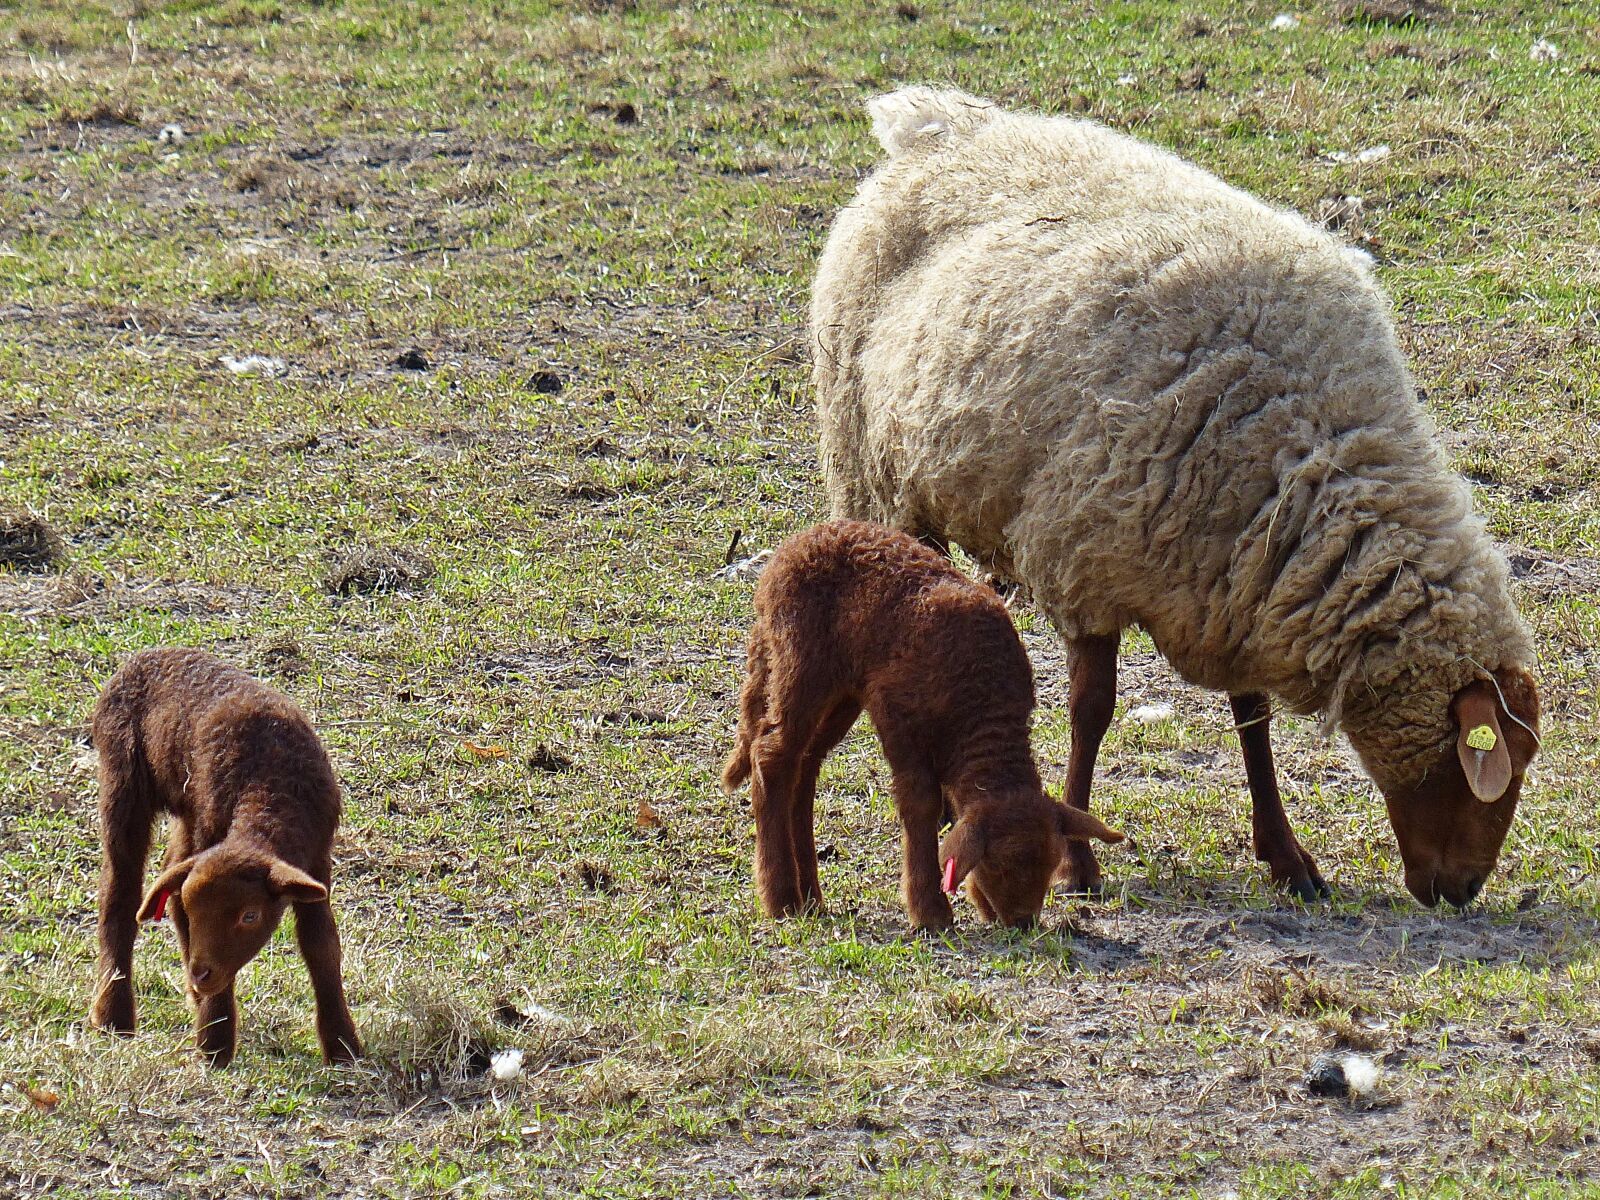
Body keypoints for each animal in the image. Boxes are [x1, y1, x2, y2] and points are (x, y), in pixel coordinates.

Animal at [89, 648, 360, 1067]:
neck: (270, 790)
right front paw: (214, 1042)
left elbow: (321, 946)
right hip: (124, 777)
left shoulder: (316, 860)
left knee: (169, 874)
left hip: (187, 810)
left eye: (250, 916)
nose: (201, 974)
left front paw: (343, 1047)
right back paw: (114, 1016)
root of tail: (149, 654)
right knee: (121, 891)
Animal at [721, 520, 1124, 930]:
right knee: (773, 754)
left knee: (804, 766)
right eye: (1000, 865)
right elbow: (921, 802)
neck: (981, 699)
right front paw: (930, 911)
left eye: (1050, 863)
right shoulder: (897, 715)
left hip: (842, 692)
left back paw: (811, 897)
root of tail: (795, 544)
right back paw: (783, 898)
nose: (1022, 923)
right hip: (801, 661)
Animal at [811, 86, 1541, 908]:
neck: (1308, 444)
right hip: (872, 471)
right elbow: (1091, 712)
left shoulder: (1235, 578)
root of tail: (939, 123)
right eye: (1484, 765)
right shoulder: (1087, 563)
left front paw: (1285, 855)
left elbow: (1252, 719)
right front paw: (1077, 864)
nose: (1463, 889)